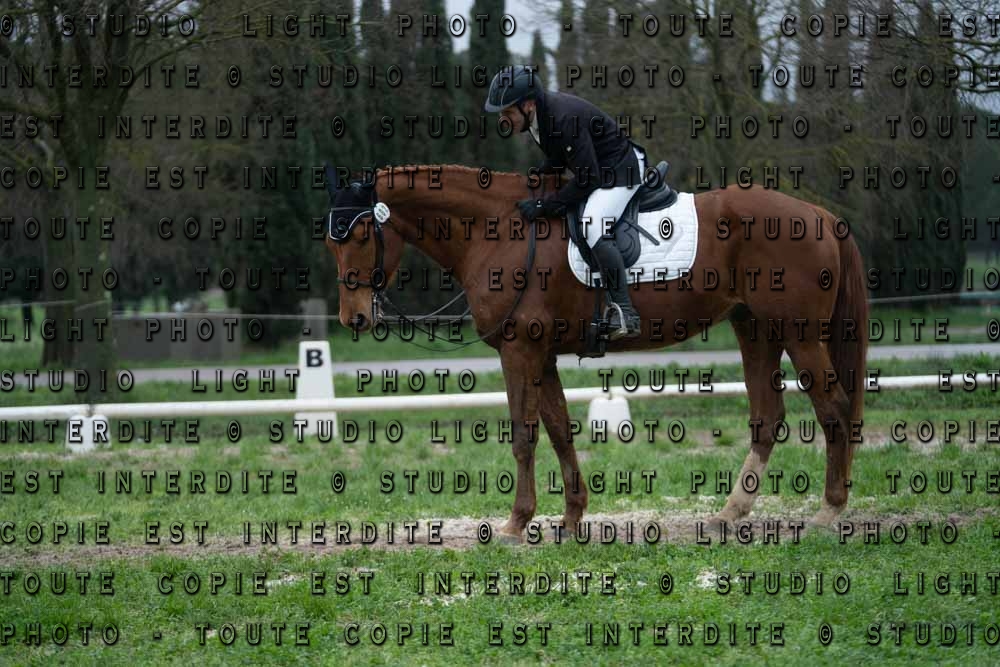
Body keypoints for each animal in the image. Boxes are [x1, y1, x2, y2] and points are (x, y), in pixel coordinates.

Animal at [322, 163, 868, 544]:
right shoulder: (541, 354)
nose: (355, 318)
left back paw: (830, 510)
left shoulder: (519, 351)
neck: (496, 231)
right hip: (754, 328)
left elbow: (524, 436)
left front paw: (515, 523)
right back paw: (729, 513)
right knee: (768, 417)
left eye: (359, 235)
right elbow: (560, 430)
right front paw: (570, 517)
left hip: (798, 333)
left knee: (834, 408)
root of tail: (820, 215)